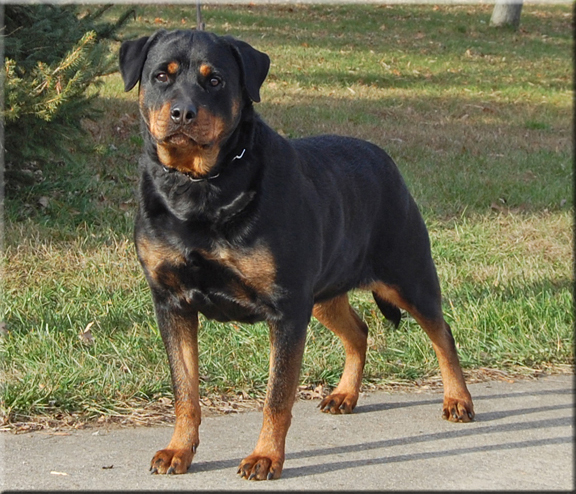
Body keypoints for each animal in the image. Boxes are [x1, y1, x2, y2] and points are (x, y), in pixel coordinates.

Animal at [118, 29, 472, 480]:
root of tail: (385, 160)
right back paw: (345, 394)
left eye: (214, 81)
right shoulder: (172, 302)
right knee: (359, 331)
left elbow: (278, 395)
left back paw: (458, 400)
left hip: (408, 277)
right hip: (323, 295)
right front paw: (179, 449)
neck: (200, 188)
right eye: (162, 75)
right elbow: (185, 389)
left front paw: (265, 457)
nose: (183, 112)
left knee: (442, 334)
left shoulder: (286, 308)